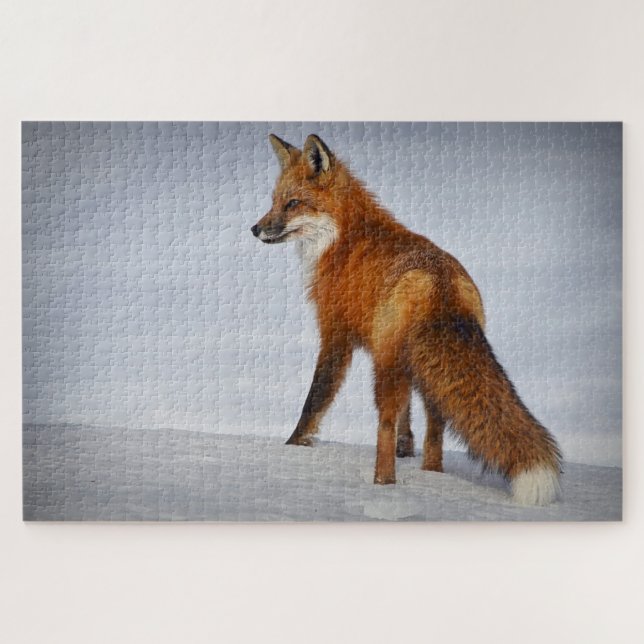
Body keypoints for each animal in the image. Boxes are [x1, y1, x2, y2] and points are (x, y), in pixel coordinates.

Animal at [251, 133, 562, 506]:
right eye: (274, 202)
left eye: (293, 203)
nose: (255, 229)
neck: (342, 239)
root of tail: (440, 283)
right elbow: (407, 417)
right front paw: (407, 447)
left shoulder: (336, 333)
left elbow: (315, 399)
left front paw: (293, 446)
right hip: (425, 368)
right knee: (436, 426)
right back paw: (431, 474)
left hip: (386, 366)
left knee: (384, 423)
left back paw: (383, 485)